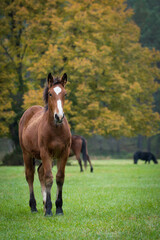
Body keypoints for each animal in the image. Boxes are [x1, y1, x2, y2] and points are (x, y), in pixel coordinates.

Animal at [18, 72, 71, 216]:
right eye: (50, 93)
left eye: (65, 94)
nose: (59, 116)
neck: (56, 129)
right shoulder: (45, 153)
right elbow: (49, 178)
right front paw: (48, 209)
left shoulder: (63, 153)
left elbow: (59, 178)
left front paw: (58, 208)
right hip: (27, 154)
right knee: (30, 175)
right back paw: (34, 206)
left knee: (40, 172)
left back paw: (43, 202)